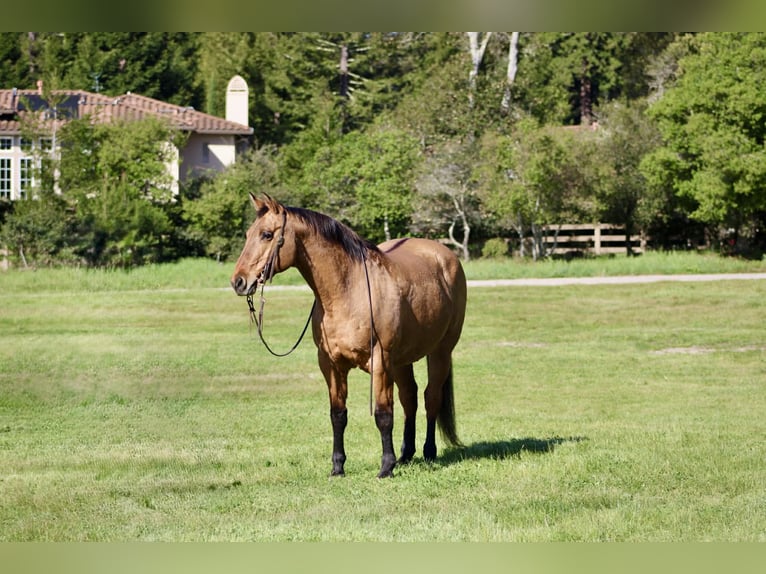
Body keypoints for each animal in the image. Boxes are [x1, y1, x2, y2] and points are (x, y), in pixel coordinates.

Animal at [231, 194, 467, 478]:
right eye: (248, 234)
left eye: (266, 234)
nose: (238, 281)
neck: (348, 291)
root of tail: (445, 255)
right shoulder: (331, 364)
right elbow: (338, 414)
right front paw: (338, 466)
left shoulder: (381, 363)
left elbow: (383, 414)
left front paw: (385, 467)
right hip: (402, 361)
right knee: (409, 397)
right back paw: (406, 455)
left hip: (440, 351)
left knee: (431, 397)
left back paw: (428, 452)